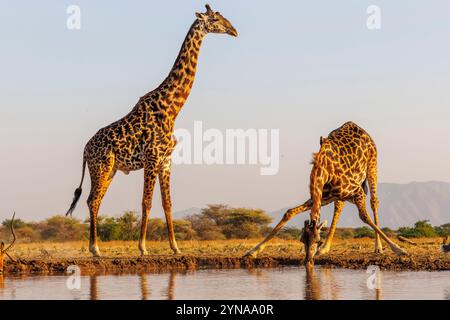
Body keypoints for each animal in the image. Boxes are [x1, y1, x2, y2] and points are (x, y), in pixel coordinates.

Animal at [66, 3, 239, 256]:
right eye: (216, 19)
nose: (234, 30)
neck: (171, 108)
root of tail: (85, 150)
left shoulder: (166, 160)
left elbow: (167, 203)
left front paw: (176, 247)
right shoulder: (152, 157)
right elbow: (146, 202)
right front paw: (143, 247)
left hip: (111, 169)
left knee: (94, 200)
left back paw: (95, 247)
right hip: (101, 167)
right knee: (92, 200)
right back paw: (95, 249)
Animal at [246, 120, 408, 264]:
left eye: (318, 240)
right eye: (301, 239)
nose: (308, 261)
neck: (323, 171)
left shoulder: (357, 192)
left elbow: (364, 217)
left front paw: (400, 250)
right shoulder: (320, 198)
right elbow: (289, 212)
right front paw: (252, 251)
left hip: (372, 166)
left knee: (374, 201)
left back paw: (378, 247)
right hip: (337, 196)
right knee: (339, 207)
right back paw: (325, 249)